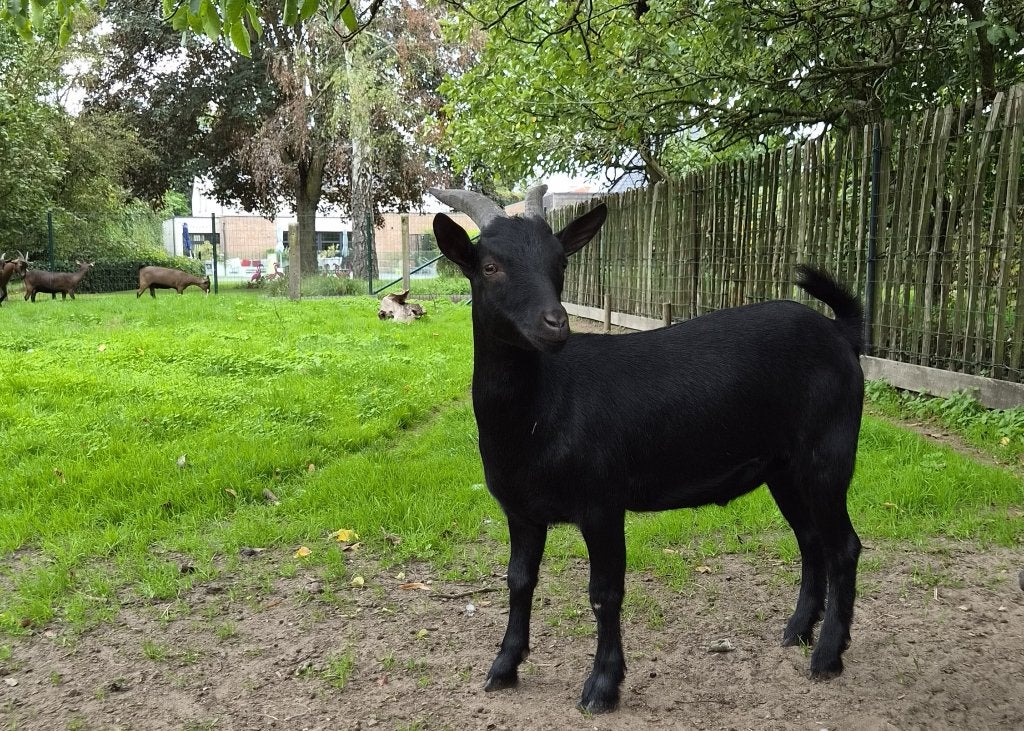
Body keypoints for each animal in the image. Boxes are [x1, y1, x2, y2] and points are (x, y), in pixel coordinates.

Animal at [430, 185, 865, 713]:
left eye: (560, 262)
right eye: (489, 266)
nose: (555, 324)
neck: (542, 409)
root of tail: (842, 333)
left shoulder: (601, 503)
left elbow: (604, 593)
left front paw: (602, 686)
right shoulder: (521, 510)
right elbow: (518, 581)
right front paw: (503, 668)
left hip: (829, 455)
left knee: (843, 546)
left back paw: (827, 656)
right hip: (784, 468)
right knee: (810, 539)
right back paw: (798, 630)